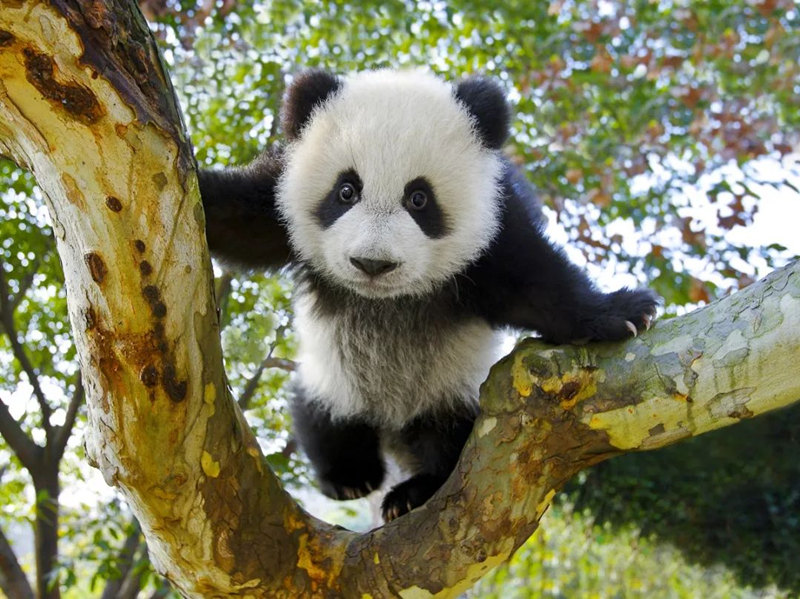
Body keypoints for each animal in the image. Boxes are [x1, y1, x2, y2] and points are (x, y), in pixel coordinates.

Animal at [199, 69, 658, 522]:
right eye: (346, 191)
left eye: (419, 198)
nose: (372, 264)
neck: (386, 299)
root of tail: (389, 427)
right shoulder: (280, 192)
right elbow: (239, 220)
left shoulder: (494, 225)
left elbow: (536, 286)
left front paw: (621, 311)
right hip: (332, 377)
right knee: (321, 414)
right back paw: (351, 475)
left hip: (449, 387)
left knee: (444, 436)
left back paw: (414, 491)